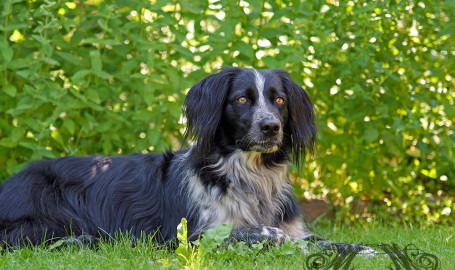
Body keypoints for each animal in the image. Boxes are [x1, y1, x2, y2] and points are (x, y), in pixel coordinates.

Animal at [0, 67, 374, 253]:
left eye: (279, 100)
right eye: (242, 99)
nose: (271, 128)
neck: (249, 175)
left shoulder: (297, 229)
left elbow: (331, 244)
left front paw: (369, 250)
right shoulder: (191, 235)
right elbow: (256, 233)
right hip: (51, 214)